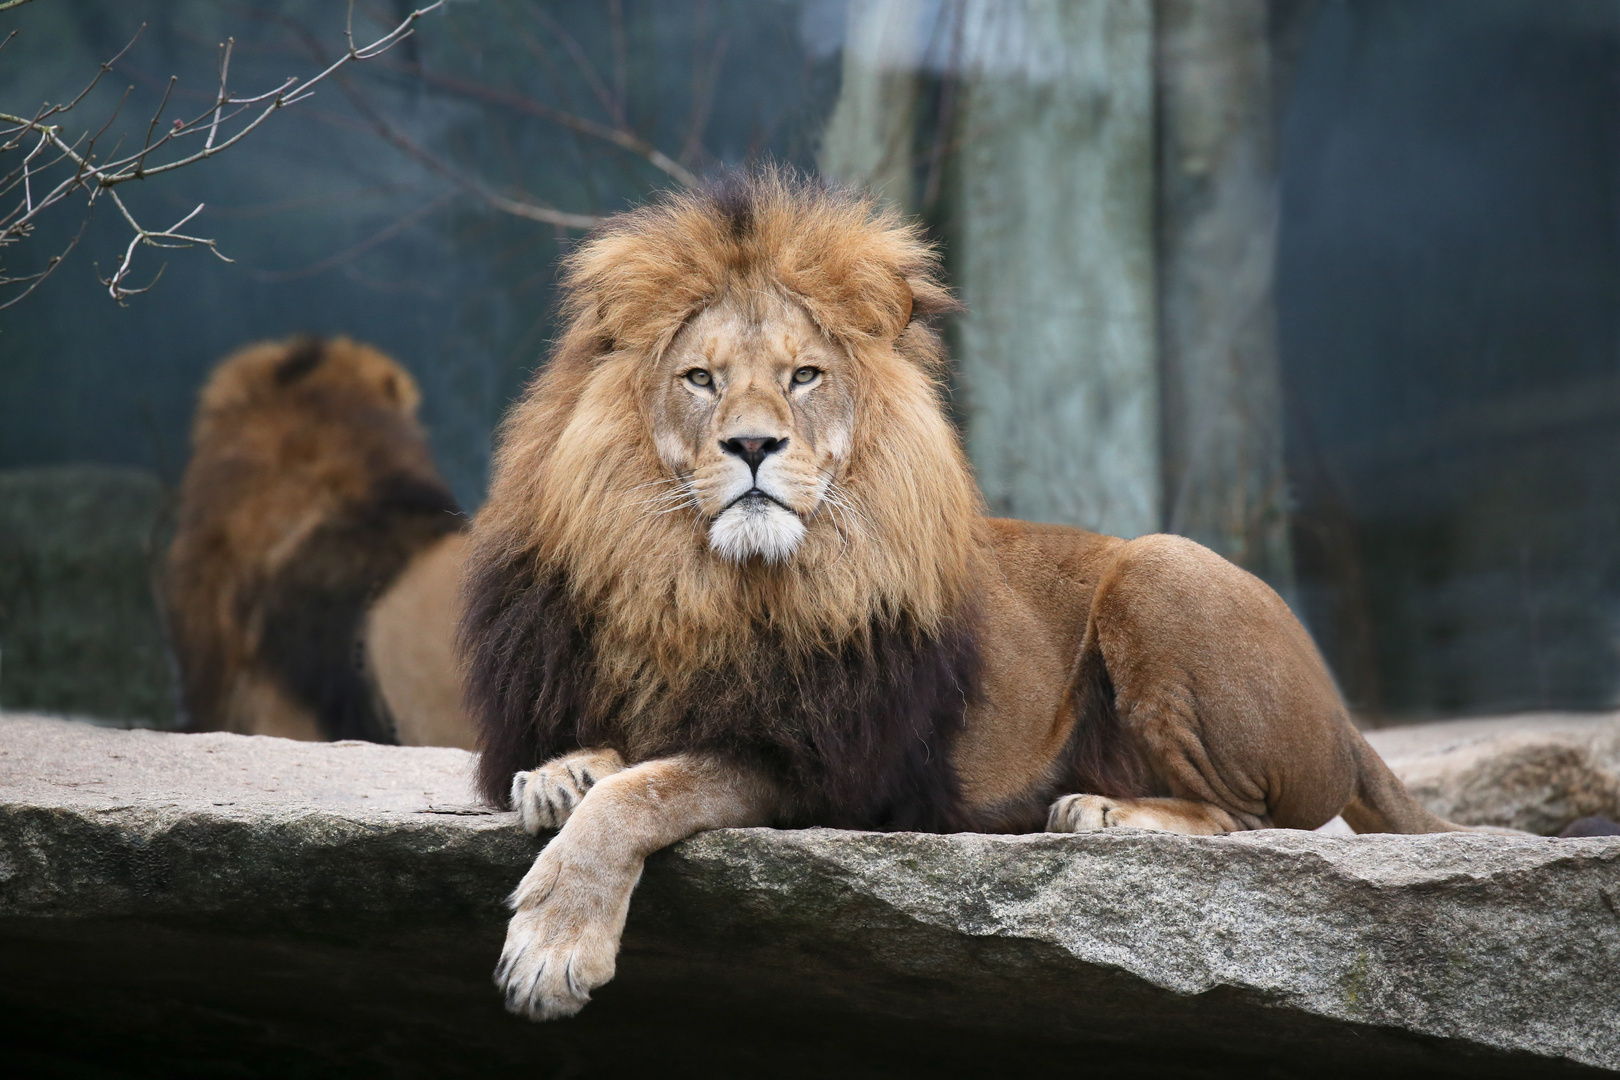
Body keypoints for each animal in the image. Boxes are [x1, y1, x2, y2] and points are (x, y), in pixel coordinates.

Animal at [460, 170, 1470, 1023]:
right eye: (700, 379)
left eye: (804, 376)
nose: (751, 445)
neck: (702, 584)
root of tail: (1344, 719)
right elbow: (608, 760)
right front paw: (561, 770)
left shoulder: (821, 765)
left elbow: (645, 793)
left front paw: (552, 943)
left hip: (1158, 567)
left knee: (1252, 826)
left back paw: (1107, 812)